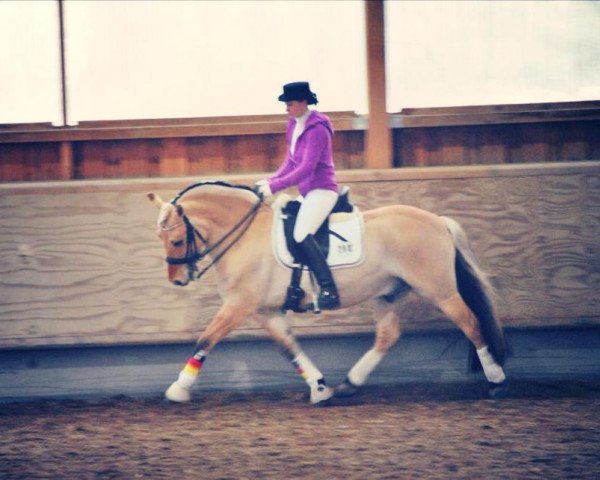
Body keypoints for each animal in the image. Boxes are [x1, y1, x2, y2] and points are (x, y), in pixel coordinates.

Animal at [146, 180, 506, 404]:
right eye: (162, 239)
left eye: (176, 240)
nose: (177, 280)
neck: (245, 236)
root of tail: (439, 221)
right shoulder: (267, 312)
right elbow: (290, 349)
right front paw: (320, 388)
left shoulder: (238, 306)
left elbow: (205, 339)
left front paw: (178, 389)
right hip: (388, 293)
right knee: (387, 336)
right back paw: (349, 384)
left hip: (439, 290)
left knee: (471, 323)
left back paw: (496, 381)